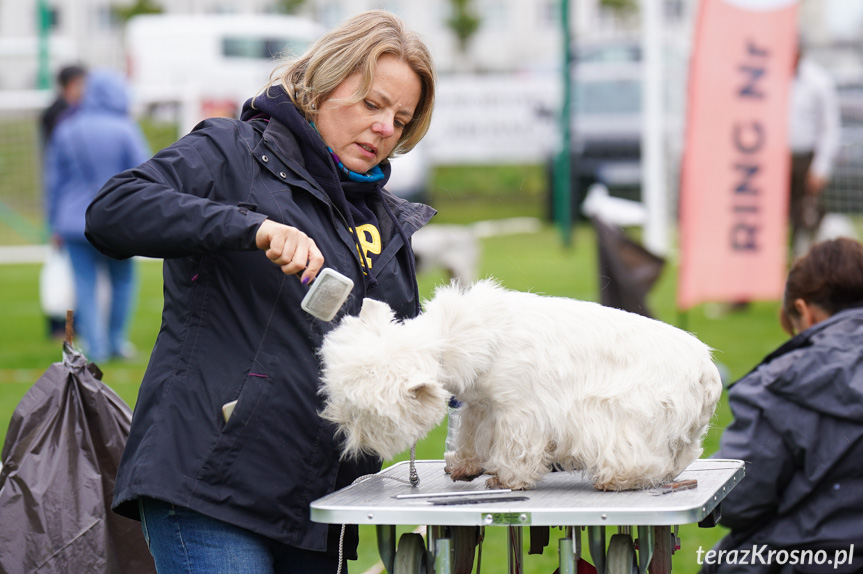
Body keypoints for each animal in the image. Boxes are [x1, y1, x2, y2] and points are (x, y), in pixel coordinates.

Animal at [318, 282, 724, 492]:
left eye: (364, 414)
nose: (340, 431)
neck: (453, 341)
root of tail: (709, 371)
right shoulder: (481, 406)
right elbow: (470, 437)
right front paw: (464, 467)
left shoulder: (521, 412)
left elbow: (516, 449)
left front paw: (507, 479)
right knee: (683, 454)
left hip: (632, 416)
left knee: (645, 457)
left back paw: (617, 479)